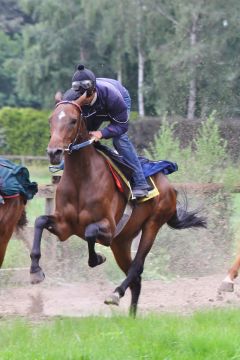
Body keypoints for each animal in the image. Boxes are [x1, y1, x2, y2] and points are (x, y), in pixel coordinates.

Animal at [30, 93, 206, 316]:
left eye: (73, 120)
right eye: (50, 120)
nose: (54, 152)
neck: (81, 179)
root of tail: (169, 186)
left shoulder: (108, 229)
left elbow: (89, 232)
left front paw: (97, 259)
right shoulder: (64, 227)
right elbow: (39, 221)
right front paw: (35, 271)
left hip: (152, 225)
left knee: (137, 267)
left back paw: (115, 293)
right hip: (121, 243)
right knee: (136, 280)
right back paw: (131, 316)